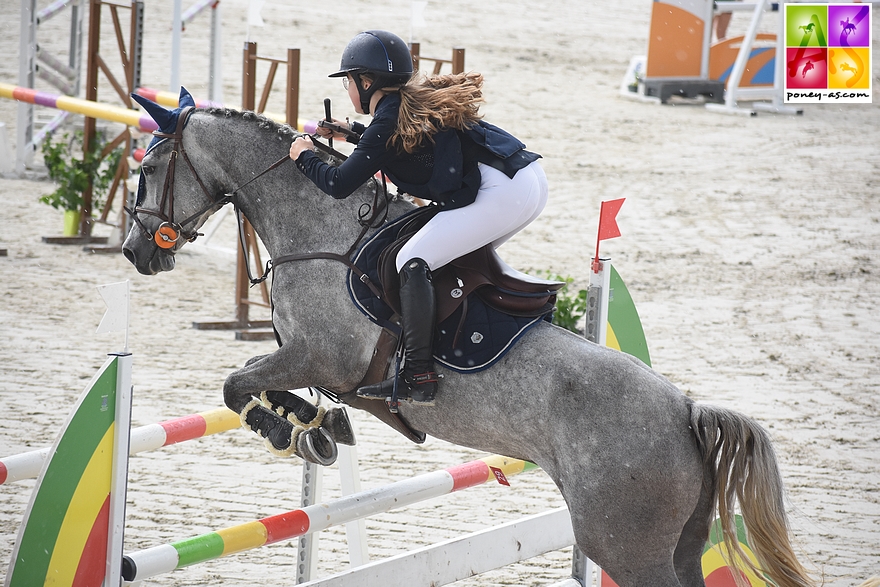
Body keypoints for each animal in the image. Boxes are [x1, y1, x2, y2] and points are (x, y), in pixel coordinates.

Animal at [120, 90, 816, 587]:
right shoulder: (311, 362)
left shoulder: (322, 356)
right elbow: (267, 384)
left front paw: (284, 428)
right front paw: (316, 427)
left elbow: (237, 382)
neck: (322, 232)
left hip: (624, 542)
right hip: (680, 542)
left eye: (148, 168)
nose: (134, 252)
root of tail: (686, 412)